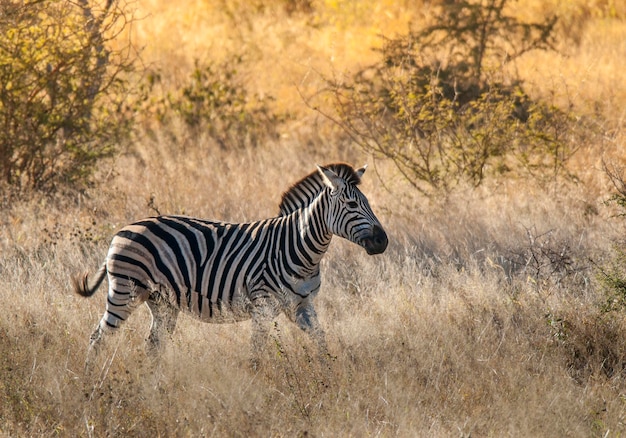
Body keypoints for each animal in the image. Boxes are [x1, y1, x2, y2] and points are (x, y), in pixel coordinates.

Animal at [73, 163, 386, 366]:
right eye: (352, 205)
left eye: (368, 203)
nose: (383, 241)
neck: (299, 248)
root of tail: (120, 231)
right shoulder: (263, 306)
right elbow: (256, 353)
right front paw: (258, 388)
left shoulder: (301, 306)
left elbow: (321, 341)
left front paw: (327, 376)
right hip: (125, 292)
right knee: (97, 338)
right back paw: (91, 381)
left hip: (162, 302)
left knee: (153, 346)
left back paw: (153, 385)